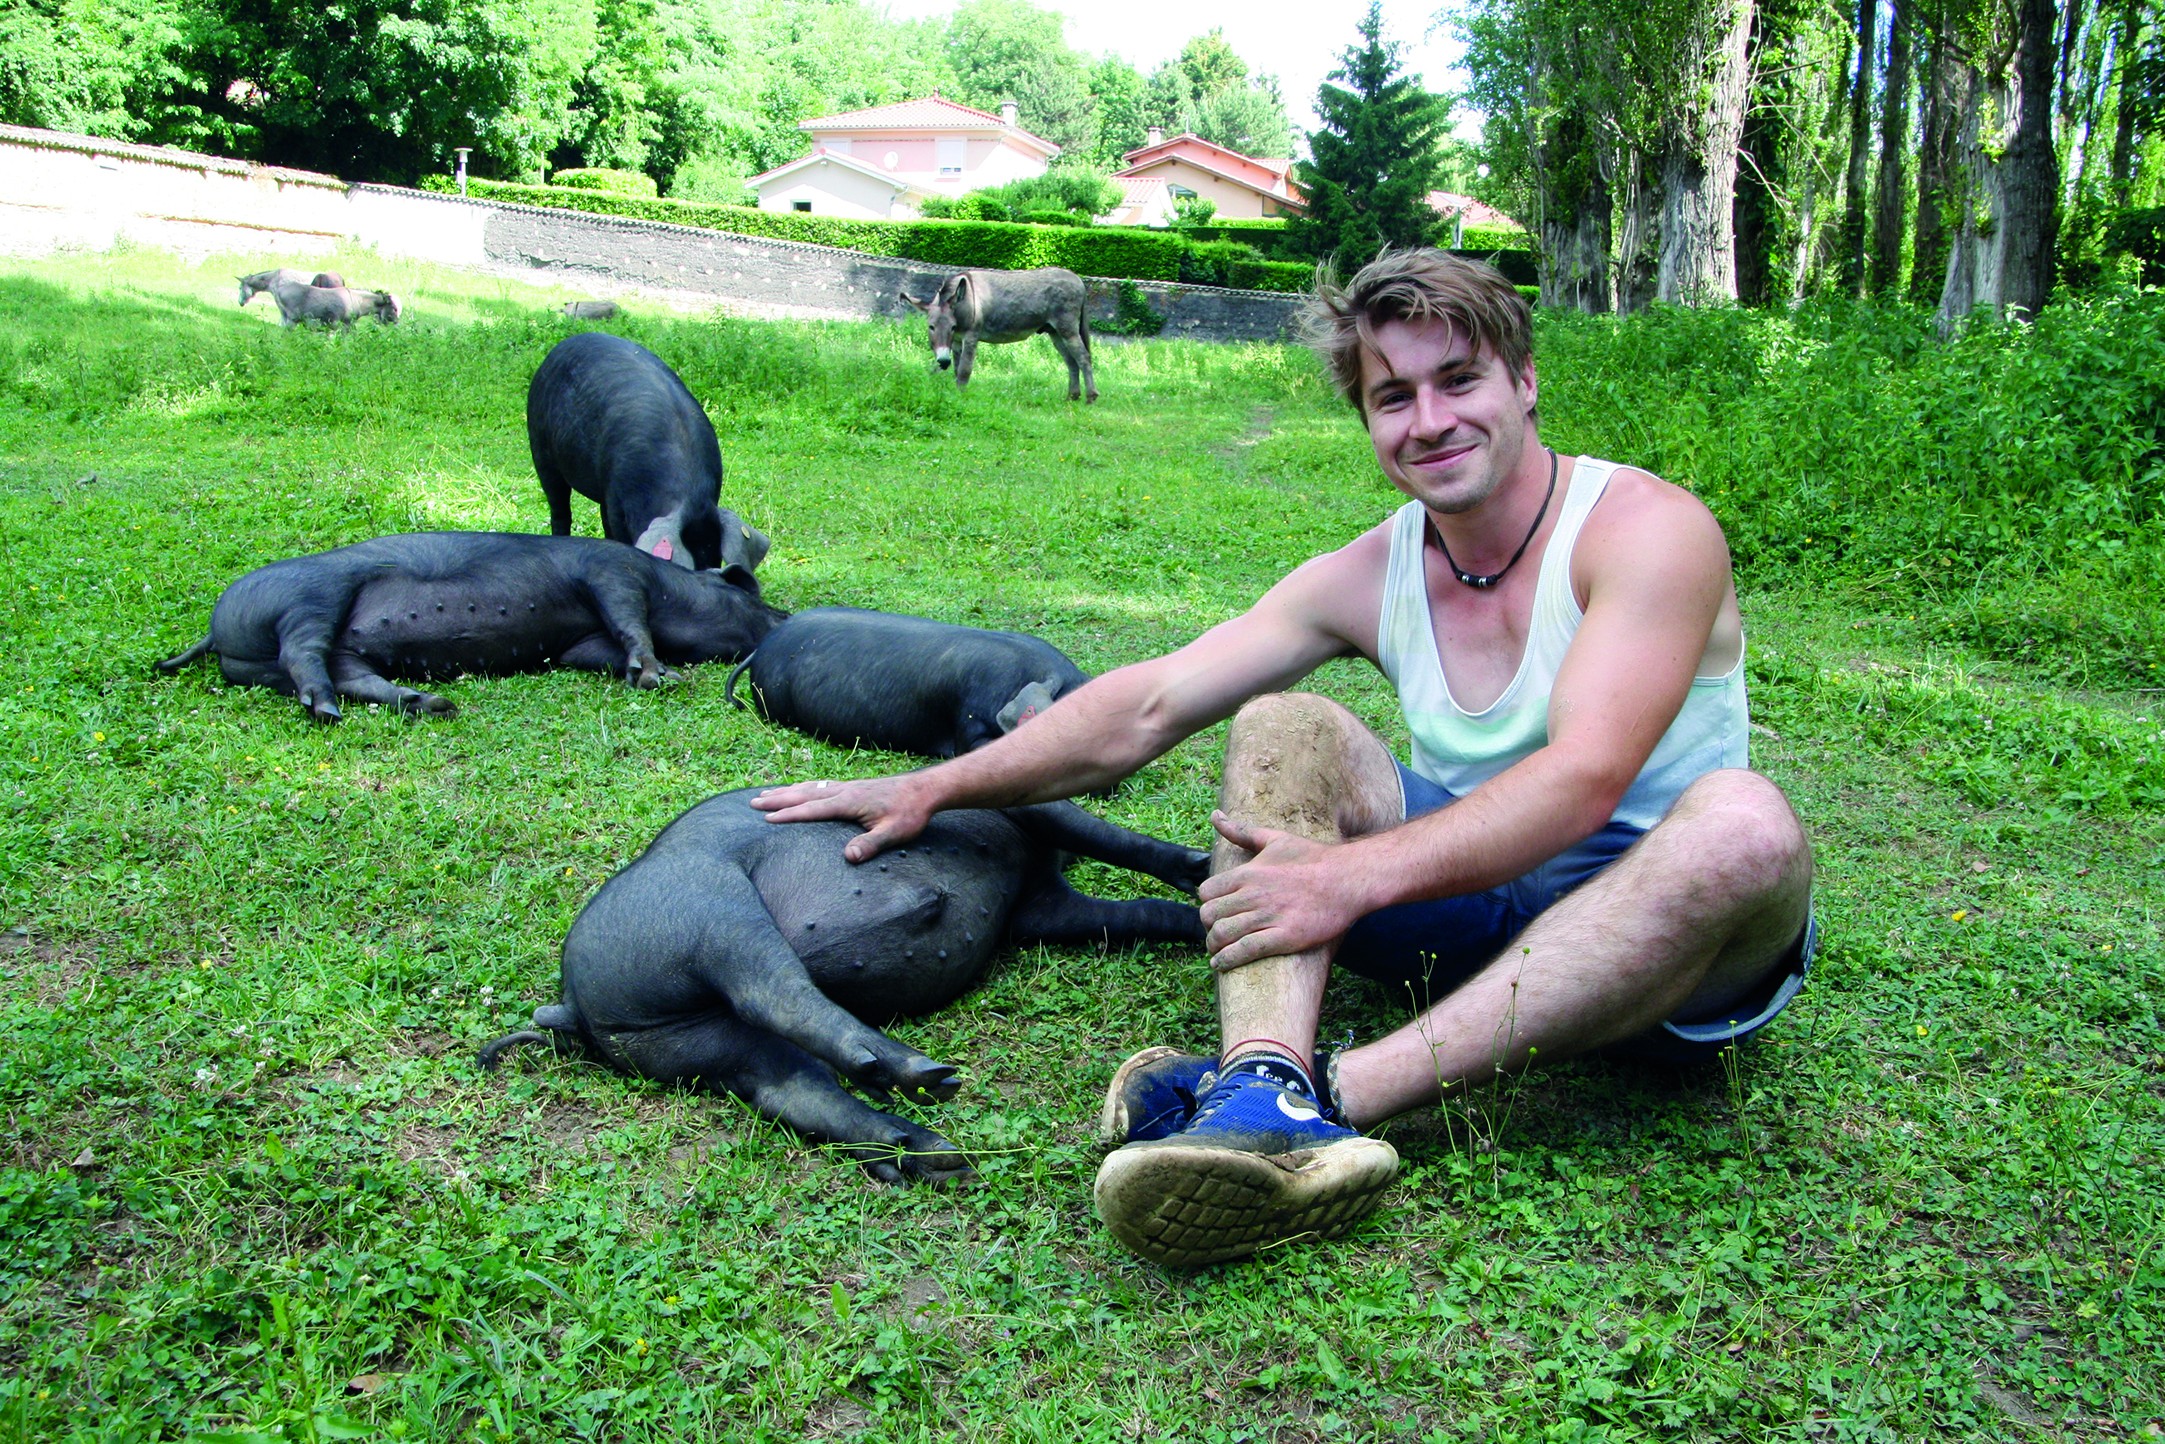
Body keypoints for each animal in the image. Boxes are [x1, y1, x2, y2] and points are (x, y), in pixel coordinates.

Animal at [158, 534, 788, 723]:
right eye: (747, 594)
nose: (786, 618)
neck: (667, 589)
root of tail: (216, 632)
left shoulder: (577, 645)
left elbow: (598, 651)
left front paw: (656, 674)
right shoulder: (609, 572)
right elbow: (628, 621)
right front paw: (660, 675)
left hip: (322, 656)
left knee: (351, 676)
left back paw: (433, 703)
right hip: (310, 597)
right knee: (302, 652)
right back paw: (326, 710)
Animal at [480, 792, 1212, 1186]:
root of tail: (572, 1005)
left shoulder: (1037, 908)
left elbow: (1134, 913)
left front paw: (1200, 910)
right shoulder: (1020, 809)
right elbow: (1105, 834)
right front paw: (1202, 866)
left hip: (688, 1042)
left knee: (788, 1082)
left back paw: (927, 1153)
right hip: (707, 909)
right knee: (775, 992)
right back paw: (925, 1079)